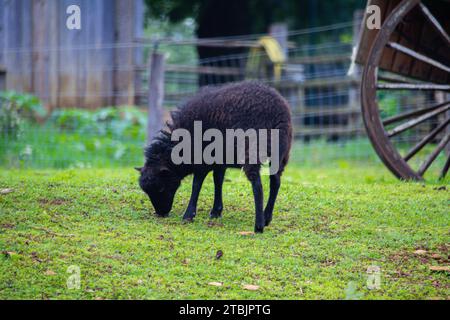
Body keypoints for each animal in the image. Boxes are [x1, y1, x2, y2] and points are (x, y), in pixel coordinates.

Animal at [136, 81, 292, 232]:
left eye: (161, 188)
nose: (161, 213)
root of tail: (275, 111)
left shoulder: (202, 160)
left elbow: (197, 184)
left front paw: (189, 215)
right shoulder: (219, 160)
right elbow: (218, 180)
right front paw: (216, 211)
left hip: (252, 149)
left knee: (257, 185)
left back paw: (258, 225)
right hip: (282, 151)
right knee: (275, 181)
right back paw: (267, 218)